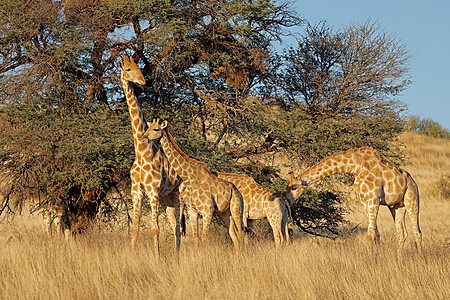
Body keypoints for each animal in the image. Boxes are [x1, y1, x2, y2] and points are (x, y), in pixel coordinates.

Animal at [120, 54, 184, 255]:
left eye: (139, 67)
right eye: (128, 69)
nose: (143, 81)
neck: (142, 152)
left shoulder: (152, 190)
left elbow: (155, 229)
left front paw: (156, 258)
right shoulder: (136, 190)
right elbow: (134, 228)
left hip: (177, 196)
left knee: (178, 229)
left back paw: (178, 257)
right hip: (166, 200)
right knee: (174, 226)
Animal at [142, 119, 244, 248]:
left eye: (156, 129)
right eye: (148, 128)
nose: (143, 138)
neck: (190, 178)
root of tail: (238, 192)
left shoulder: (207, 210)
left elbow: (205, 239)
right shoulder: (192, 211)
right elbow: (195, 239)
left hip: (236, 209)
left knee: (241, 233)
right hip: (225, 213)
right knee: (234, 236)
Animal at [288, 146, 422, 252]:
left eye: (294, 187)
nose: (288, 200)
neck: (356, 166)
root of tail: (413, 181)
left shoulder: (374, 199)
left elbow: (370, 234)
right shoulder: (365, 201)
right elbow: (376, 234)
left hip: (412, 201)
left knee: (417, 233)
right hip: (397, 206)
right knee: (402, 233)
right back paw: (399, 259)